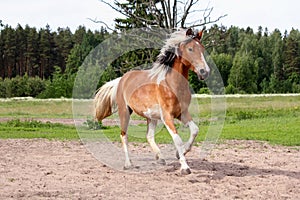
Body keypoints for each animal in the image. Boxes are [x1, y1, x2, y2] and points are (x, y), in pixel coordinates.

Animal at [95, 28, 210, 175]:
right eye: (190, 49)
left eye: (202, 48)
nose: (205, 72)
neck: (171, 84)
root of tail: (122, 79)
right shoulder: (167, 116)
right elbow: (177, 139)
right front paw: (185, 167)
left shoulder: (182, 113)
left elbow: (195, 130)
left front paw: (180, 153)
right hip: (125, 112)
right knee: (123, 135)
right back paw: (128, 164)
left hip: (151, 116)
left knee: (149, 136)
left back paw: (160, 158)